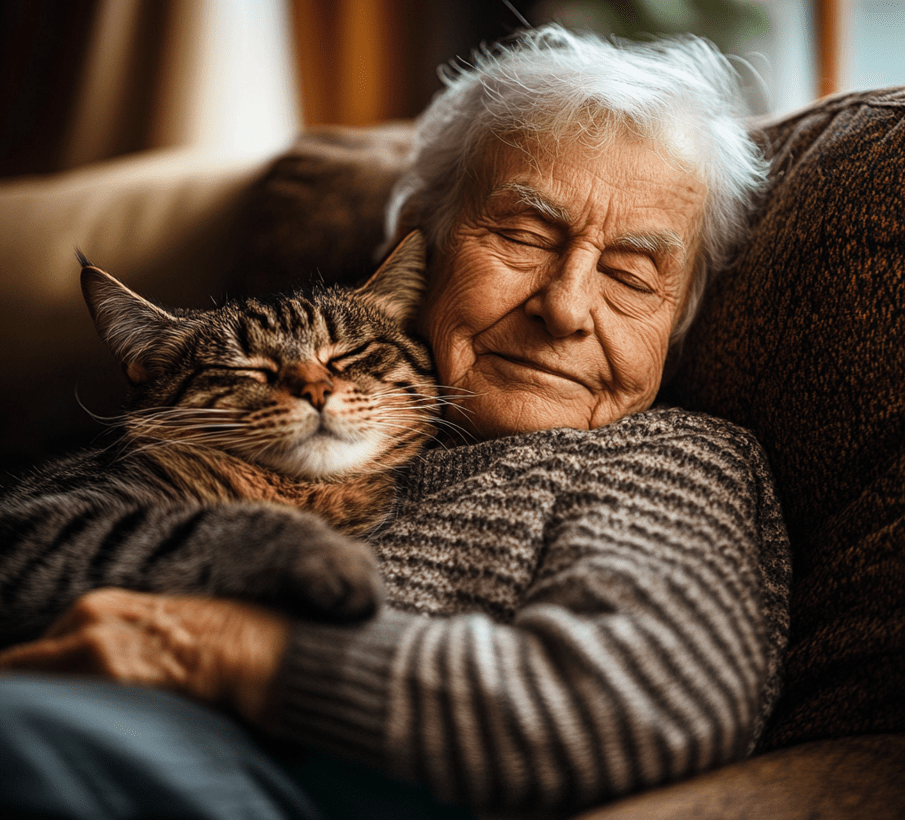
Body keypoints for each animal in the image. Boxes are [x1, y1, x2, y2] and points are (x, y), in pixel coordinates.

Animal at [0, 231, 438, 648]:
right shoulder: (38, 520)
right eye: (246, 368)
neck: (298, 492)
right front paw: (331, 555)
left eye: (348, 354)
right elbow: (209, 523)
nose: (315, 391)